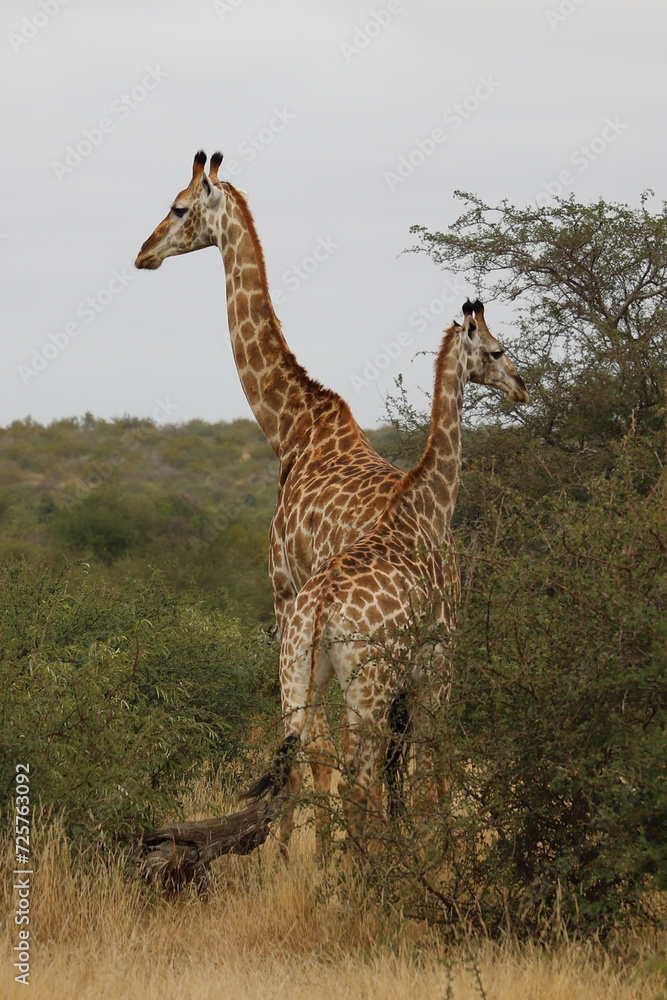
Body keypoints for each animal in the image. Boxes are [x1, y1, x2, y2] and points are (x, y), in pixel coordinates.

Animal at [242, 300, 529, 850]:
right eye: (496, 350)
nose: (523, 386)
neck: (430, 502)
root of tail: (322, 609)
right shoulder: (438, 658)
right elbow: (433, 765)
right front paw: (440, 851)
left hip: (297, 674)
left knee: (301, 764)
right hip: (368, 688)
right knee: (358, 784)